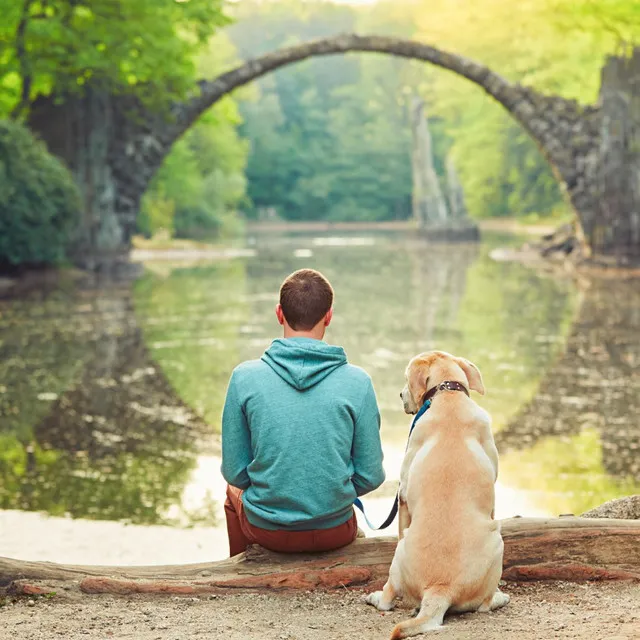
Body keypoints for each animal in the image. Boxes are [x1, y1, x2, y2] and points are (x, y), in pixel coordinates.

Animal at [368, 352, 508, 636]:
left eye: (405, 379)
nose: (400, 395)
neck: (448, 395)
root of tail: (440, 589)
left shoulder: (402, 496)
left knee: (388, 597)